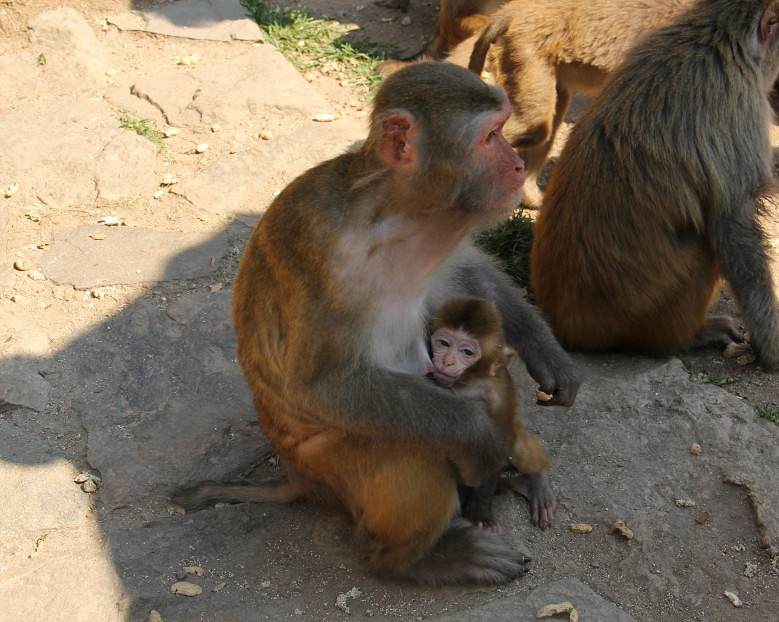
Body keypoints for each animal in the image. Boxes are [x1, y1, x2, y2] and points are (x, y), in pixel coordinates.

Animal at [426, 298, 556, 532]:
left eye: (467, 352)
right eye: (444, 343)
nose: (447, 361)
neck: (467, 384)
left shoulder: (497, 400)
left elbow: (495, 449)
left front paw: (480, 512)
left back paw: (536, 482)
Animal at [532, 0, 779, 370]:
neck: (715, 38)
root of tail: (568, 327)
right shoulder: (740, 108)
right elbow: (734, 229)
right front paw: (773, 346)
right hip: (644, 318)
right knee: (705, 250)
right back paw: (690, 337)